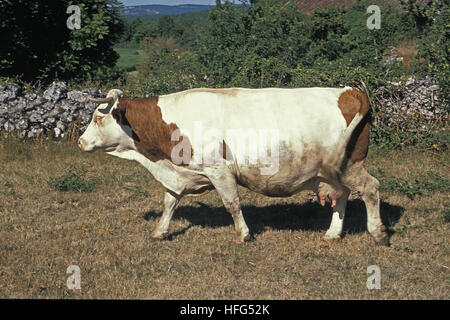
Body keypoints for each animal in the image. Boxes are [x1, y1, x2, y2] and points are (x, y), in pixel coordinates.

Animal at [77, 87, 386, 245]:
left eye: (98, 118)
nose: (80, 141)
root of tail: (351, 91)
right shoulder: (180, 173)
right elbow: (170, 202)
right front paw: (160, 231)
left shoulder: (219, 169)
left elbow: (231, 203)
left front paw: (244, 234)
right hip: (335, 173)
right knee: (343, 196)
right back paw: (333, 233)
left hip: (348, 165)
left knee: (371, 188)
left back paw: (378, 233)